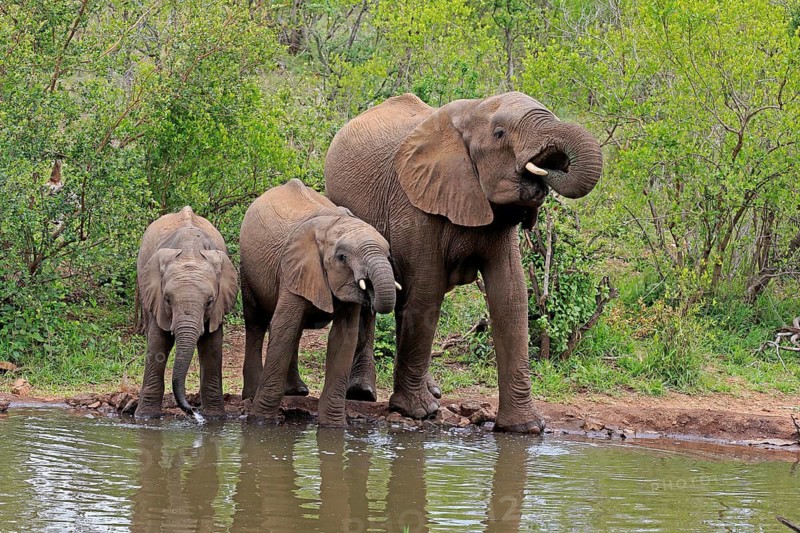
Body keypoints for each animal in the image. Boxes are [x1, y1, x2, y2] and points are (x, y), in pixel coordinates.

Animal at [135, 206, 238, 420]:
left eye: (209, 301)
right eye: (167, 299)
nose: (192, 410)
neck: (190, 251)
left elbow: (212, 346)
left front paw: (215, 419)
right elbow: (157, 343)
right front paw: (146, 417)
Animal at [239, 179, 399, 426]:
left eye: (388, 253)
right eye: (342, 257)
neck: (333, 226)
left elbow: (344, 338)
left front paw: (334, 426)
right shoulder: (295, 268)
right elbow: (283, 328)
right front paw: (260, 422)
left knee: (293, 331)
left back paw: (297, 391)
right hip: (247, 269)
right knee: (256, 322)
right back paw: (252, 395)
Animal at [325, 92, 602, 432]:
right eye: (499, 134)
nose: (548, 168)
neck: (473, 110)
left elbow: (511, 298)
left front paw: (526, 428)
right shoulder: (415, 202)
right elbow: (427, 293)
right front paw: (418, 412)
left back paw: (432, 390)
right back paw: (364, 392)